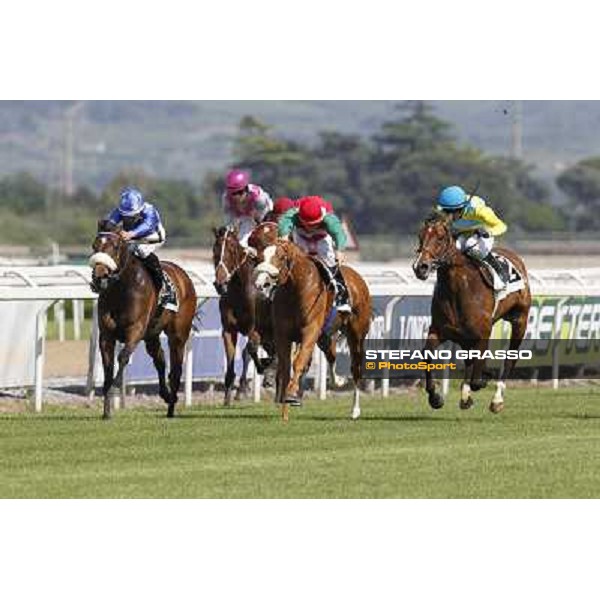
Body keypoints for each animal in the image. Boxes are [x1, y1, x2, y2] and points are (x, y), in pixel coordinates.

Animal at [89, 220, 197, 418]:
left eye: (115, 246)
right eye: (94, 246)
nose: (99, 278)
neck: (121, 290)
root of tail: (184, 276)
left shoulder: (135, 330)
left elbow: (123, 357)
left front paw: (115, 387)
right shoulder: (106, 335)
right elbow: (108, 368)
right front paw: (107, 410)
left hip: (178, 334)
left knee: (176, 369)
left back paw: (172, 407)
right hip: (152, 334)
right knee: (160, 360)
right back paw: (166, 395)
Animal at [211, 224, 276, 404]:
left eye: (232, 250)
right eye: (215, 250)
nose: (220, 283)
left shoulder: (255, 330)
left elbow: (251, 349)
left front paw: (263, 368)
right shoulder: (228, 330)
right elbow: (233, 358)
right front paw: (228, 397)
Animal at [252, 239, 370, 422]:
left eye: (281, 257)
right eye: (259, 256)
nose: (261, 284)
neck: (296, 290)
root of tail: (358, 278)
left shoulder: (310, 331)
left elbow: (298, 362)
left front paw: (291, 396)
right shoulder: (283, 335)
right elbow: (285, 367)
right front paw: (285, 408)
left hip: (356, 335)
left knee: (356, 368)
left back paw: (355, 410)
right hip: (324, 337)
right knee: (331, 354)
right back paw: (339, 381)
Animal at [412, 211, 528, 412]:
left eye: (440, 238)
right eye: (420, 236)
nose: (420, 267)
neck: (458, 289)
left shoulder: (483, 333)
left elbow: (477, 376)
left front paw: (484, 379)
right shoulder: (439, 330)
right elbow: (427, 356)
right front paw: (435, 397)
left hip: (520, 319)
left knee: (510, 358)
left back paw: (497, 400)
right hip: (465, 336)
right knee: (469, 360)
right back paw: (465, 397)